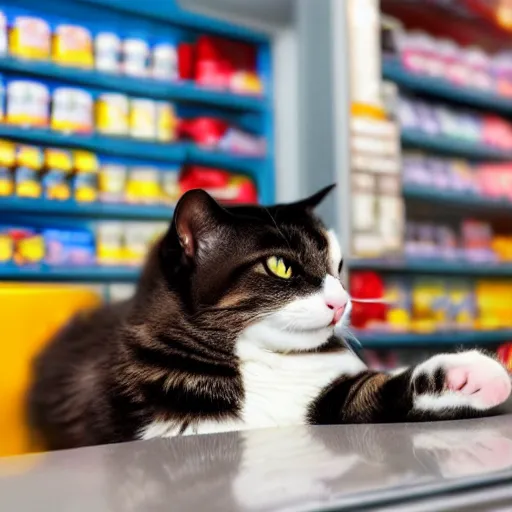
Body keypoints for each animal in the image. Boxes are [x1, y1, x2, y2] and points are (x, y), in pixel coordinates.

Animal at [29, 186, 512, 450]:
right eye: (280, 266)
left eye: (338, 266)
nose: (342, 302)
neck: (261, 361)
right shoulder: (169, 427)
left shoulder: (322, 393)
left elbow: (366, 392)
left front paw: (473, 377)